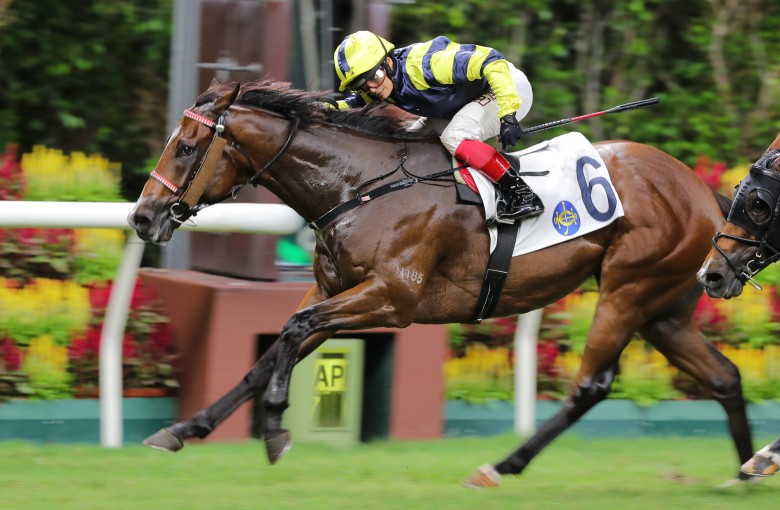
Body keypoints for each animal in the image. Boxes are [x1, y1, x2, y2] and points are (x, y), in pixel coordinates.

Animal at [129, 79, 756, 486]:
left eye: (186, 148)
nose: (141, 217)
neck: (359, 185)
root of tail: (703, 194)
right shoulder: (335, 290)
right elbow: (271, 351)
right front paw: (183, 430)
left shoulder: (391, 299)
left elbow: (292, 329)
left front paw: (277, 430)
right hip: (665, 309)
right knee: (724, 377)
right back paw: (748, 471)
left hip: (629, 289)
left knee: (591, 385)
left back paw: (501, 466)